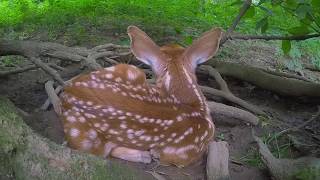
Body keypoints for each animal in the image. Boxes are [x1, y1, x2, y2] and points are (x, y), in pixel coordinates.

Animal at [58, 26, 221, 167]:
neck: (193, 104)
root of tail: (69, 90)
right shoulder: (182, 156)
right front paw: (151, 154)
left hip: (129, 70)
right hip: (83, 136)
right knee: (101, 151)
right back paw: (143, 156)